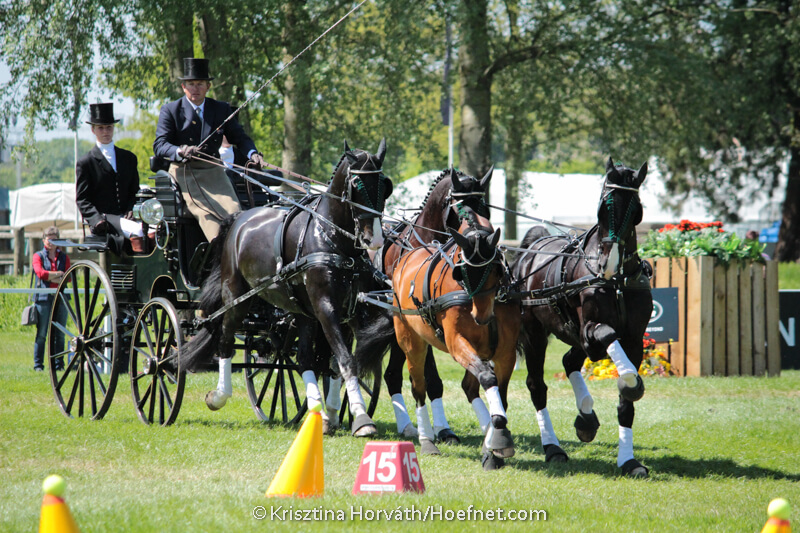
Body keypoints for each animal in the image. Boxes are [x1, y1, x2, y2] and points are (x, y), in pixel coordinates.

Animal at [179, 139, 393, 437]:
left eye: (385, 186)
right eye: (356, 186)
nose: (374, 240)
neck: (331, 240)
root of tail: (239, 218)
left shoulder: (348, 313)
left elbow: (334, 363)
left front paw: (333, 413)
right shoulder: (326, 308)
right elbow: (345, 360)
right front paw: (361, 418)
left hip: (302, 313)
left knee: (303, 358)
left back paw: (317, 412)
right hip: (236, 297)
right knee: (225, 341)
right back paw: (219, 396)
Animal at [390, 211, 520, 469]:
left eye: (496, 269)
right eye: (461, 272)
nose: (481, 316)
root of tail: (406, 258)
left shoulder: (505, 352)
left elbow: (499, 392)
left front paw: (493, 443)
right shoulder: (456, 342)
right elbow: (487, 378)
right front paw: (499, 434)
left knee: (469, 387)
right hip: (410, 340)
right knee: (418, 387)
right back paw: (426, 440)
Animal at [504, 157, 652, 477]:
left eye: (636, 209)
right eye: (602, 207)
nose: (607, 264)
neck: (616, 282)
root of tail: (532, 248)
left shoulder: (634, 340)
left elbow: (626, 402)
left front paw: (629, 460)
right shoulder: (591, 332)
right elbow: (610, 338)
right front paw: (630, 384)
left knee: (569, 361)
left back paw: (586, 417)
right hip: (536, 336)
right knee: (537, 387)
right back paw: (553, 448)